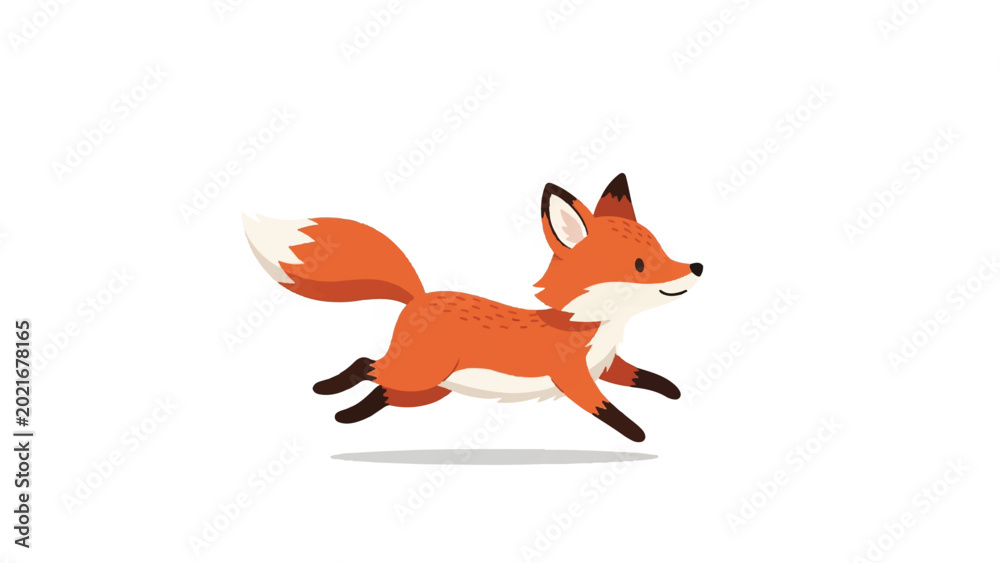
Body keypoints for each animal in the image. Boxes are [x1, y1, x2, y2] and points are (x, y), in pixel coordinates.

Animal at [243, 174, 701, 442]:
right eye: (640, 264)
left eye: (661, 250)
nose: (696, 267)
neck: (589, 323)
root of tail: (419, 296)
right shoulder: (572, 377)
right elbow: (606, 408)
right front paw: (636, 433)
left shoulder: (606, 365)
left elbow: (643, 376)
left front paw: (671, 389)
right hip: (420, 375)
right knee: (365, 364)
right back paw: (331, 391)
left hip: (426, 390)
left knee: (380, 387)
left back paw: (348, 415)